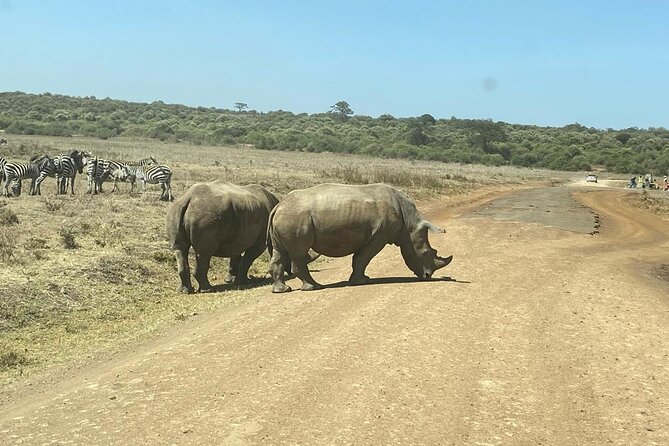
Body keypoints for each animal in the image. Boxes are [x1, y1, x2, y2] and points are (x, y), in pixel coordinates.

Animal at [268, 183, 453, 293]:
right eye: (427, 253)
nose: (427, 276)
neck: (409, 223)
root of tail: (278, 205)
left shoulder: (373, 236)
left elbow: (359, 258)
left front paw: (361, 279)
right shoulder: (379, 236)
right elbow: (363, 258)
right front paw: (361, 281)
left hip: (287, 216)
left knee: (280, 251)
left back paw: (282, 290)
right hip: (296, 216)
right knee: (299, 253)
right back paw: (314, 287)